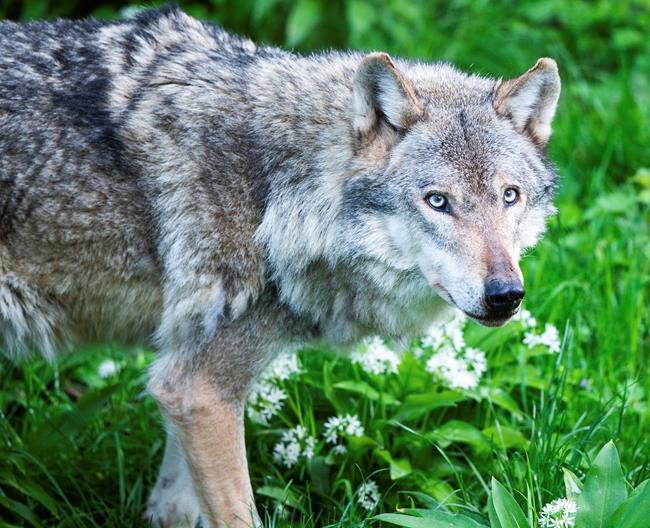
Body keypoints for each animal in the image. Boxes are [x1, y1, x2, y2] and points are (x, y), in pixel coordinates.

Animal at [0, 5, 560, 527]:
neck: (276, 193)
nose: (505, 294)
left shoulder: (183, 388)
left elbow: (174, 503)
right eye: (438, 201)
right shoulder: (200, 389)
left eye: (510, 196)